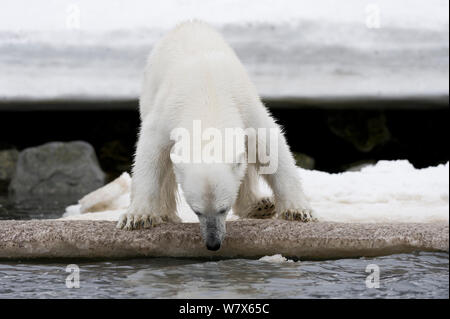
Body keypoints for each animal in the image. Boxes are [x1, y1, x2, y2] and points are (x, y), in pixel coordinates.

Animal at [119, 21, 316, 252]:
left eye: (224, 208)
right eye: (197, 211)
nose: (213, 243)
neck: (208, 95)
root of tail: (188, 23)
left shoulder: (244, 107)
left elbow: (270, 146)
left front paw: (298, 211)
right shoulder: (166, 114)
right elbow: (150, 152)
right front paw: (138, 217)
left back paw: (260, 205)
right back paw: (167, 214)